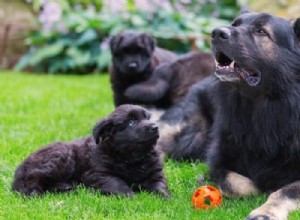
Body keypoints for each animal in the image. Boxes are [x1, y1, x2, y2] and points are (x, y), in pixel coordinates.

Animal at [12, 104, 171, 197]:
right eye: (131, 122)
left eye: (147, 118)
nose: (155, 127)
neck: (132, 157)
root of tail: (20, 168)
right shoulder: (97, 174)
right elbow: (117, 181)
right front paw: (128, 195)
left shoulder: (155, 174)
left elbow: (160, 185)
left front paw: (166, 197)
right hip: (62, 157)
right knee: (34, 176)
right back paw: (34, 192)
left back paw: (65, 187)